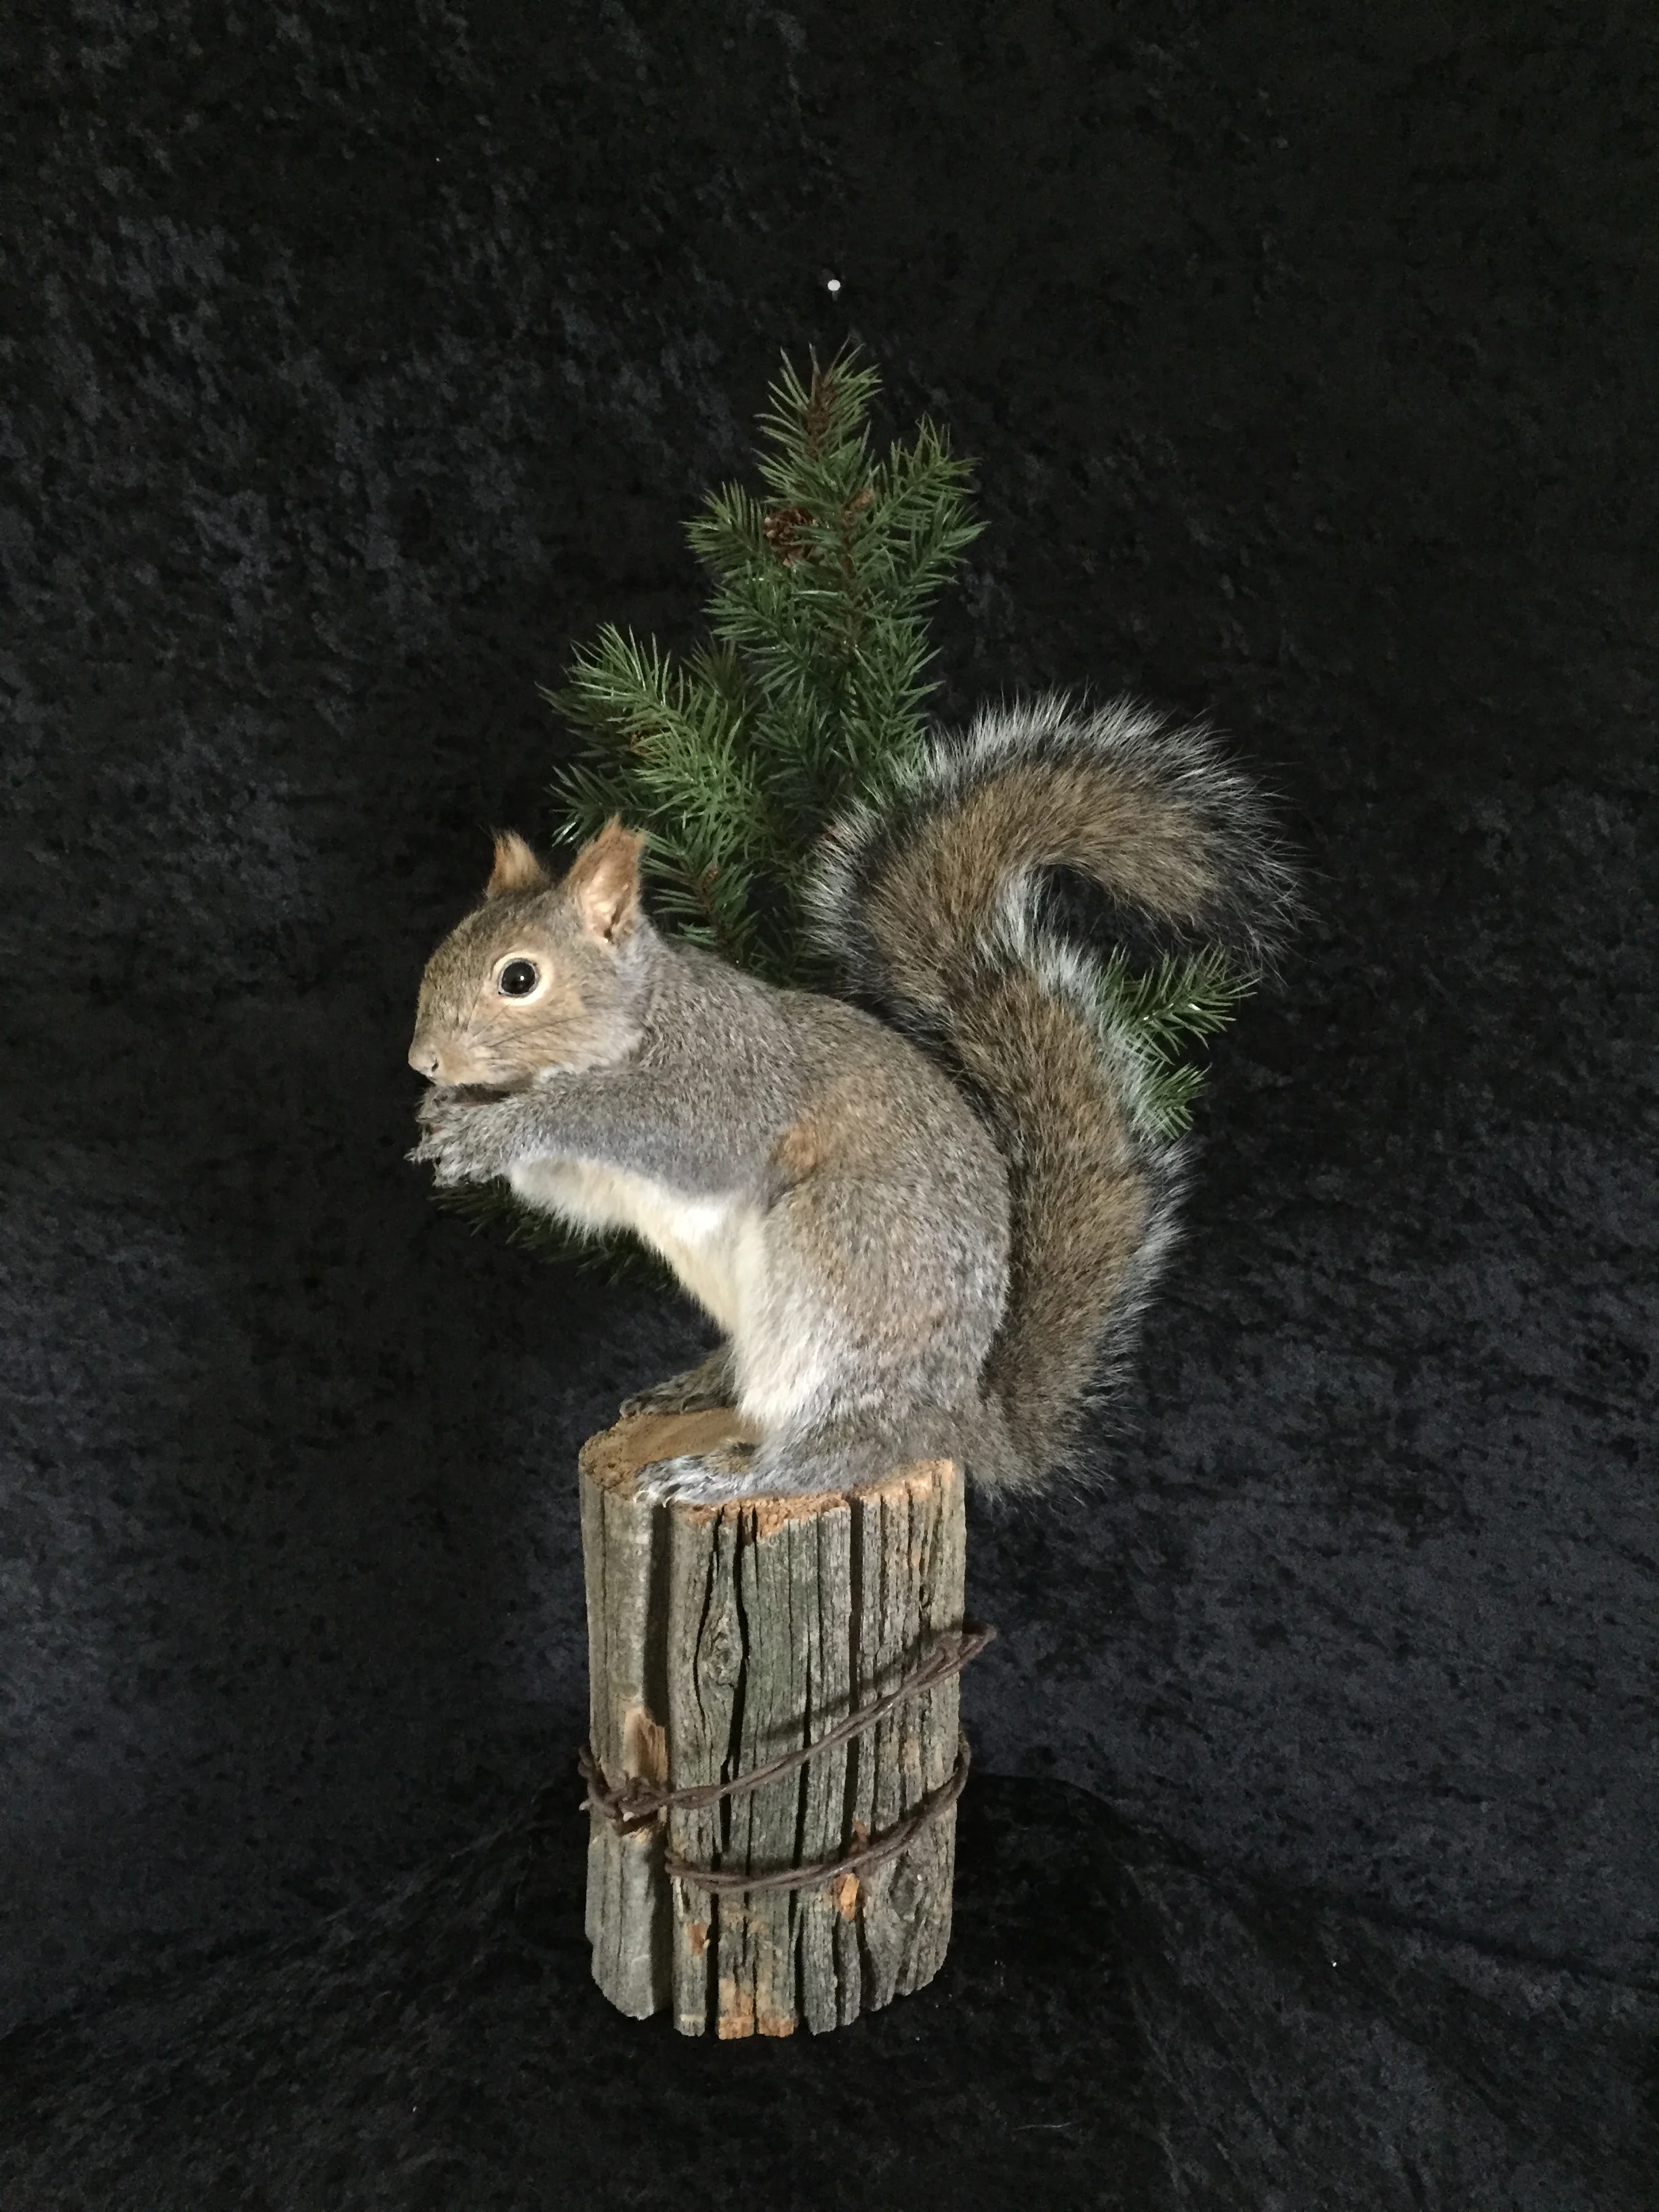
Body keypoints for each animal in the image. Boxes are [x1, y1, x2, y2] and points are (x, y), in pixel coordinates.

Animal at [408, 696, 1295, 1502]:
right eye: (443, 949)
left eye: (519, 978)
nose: (422, 1061)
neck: (639, 1018)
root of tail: (956, 1420)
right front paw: (453, 1121)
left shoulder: (729, 1078)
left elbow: (655, 1130)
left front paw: (504, 1125)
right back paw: (701, 1385)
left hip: (843, 1257)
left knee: (841, 1446)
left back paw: (739, 1474)